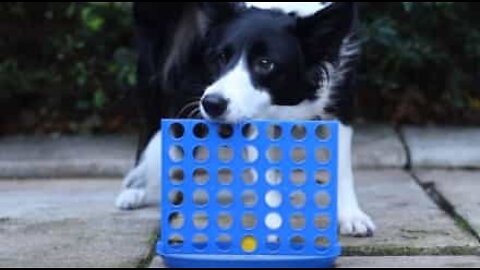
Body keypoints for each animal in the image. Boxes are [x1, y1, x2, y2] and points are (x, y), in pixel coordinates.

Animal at [115, 3, 376, 237]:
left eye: (265, 63)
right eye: (221, 56)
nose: (212, 104)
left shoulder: (340, 95)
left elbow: (341, 166)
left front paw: (351, 216)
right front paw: (273, 226)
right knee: (151, 119)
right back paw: (136, 189)